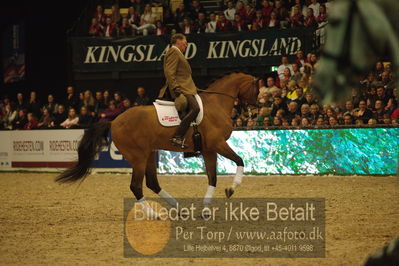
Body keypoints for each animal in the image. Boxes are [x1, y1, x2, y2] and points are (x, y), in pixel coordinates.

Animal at [56, 72, 260, 216]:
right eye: (256, 89)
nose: (255, 109)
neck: (216, 104)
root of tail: (113, 121)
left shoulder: (209, 150)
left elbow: (213, 178)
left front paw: (206, 210)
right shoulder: (218, 144)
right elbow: (240, 161)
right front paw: (231, 188)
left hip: (148, 155)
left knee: (152, 183)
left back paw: (179, 209)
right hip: (138, 157)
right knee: (136, 186)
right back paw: (153, 214)